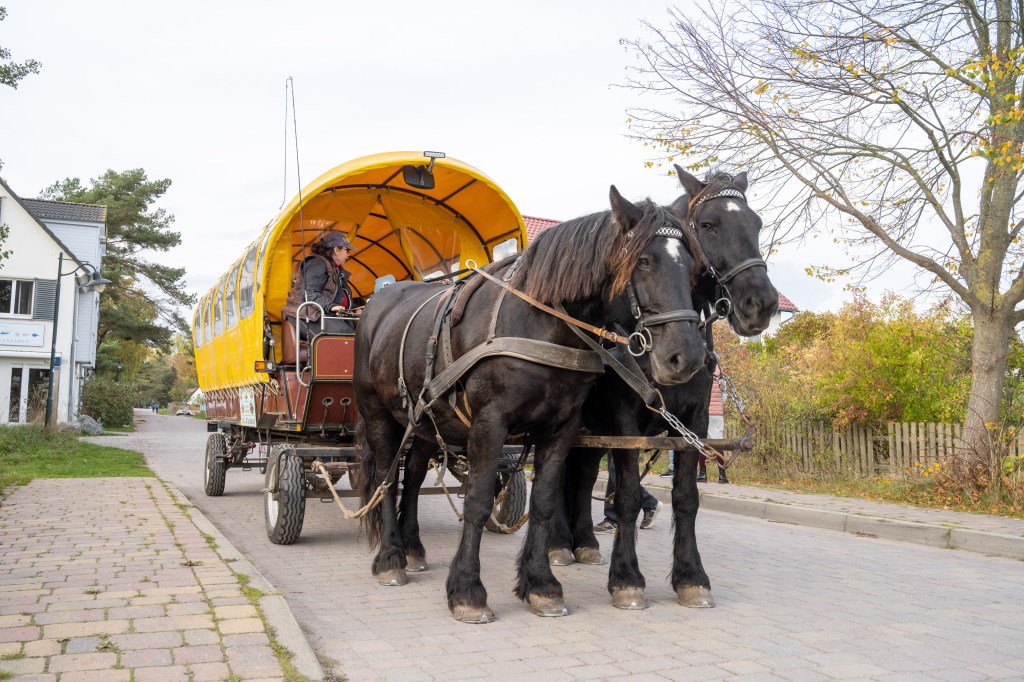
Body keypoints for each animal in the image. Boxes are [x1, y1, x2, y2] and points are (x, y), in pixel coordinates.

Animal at [356, 186, 708, 622]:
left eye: (692, 265)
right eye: (644, 261)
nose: (687, 357)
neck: (541, 323)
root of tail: (377, 301)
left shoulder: (561, 428)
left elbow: (542, 502)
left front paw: (540, 584)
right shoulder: (490, 424)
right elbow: (477, 500)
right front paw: (467, 590)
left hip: (423, 425)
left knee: (414, 480)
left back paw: (413, 549)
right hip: (378, 416)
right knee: (386, 480)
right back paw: (390, 558)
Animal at [552, 166, 774, 606]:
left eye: (756, 224)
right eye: (708, 225)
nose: (763, 303)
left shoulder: (694, 423)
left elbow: (686, 498)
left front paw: (691, 576)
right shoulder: (625, 424)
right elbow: (627, 496)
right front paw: (626, 578)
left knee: (582, 476)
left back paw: (582, 541)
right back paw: (557, 544)